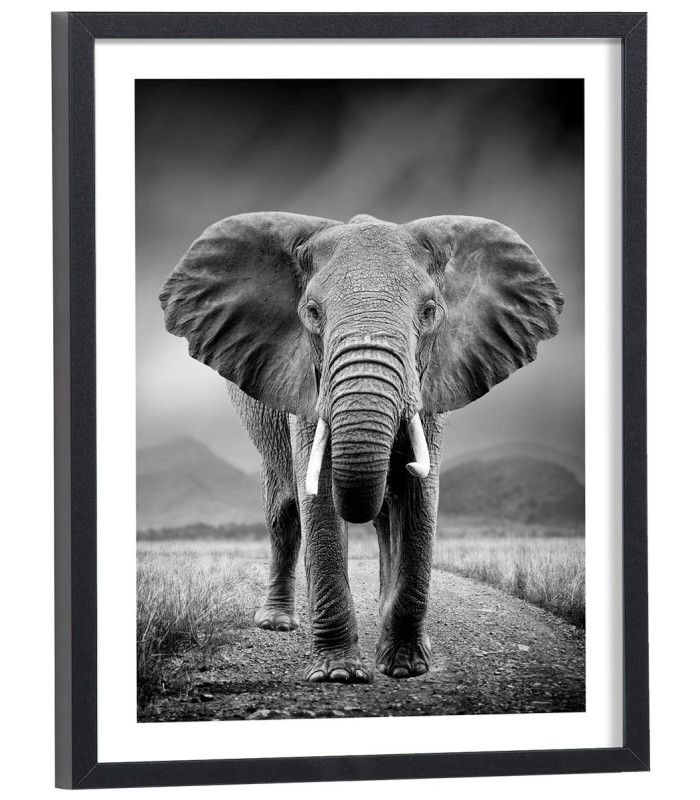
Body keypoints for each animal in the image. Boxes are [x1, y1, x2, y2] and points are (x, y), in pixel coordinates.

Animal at [159, 212, 563, 684]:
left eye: (429, 312)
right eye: (312, 313)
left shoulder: (431, 381)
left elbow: (420, 497)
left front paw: (406, 667)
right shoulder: (307, 383)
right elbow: (318, 497)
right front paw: (339, 675)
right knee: (283, 513)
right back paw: (278, 623)